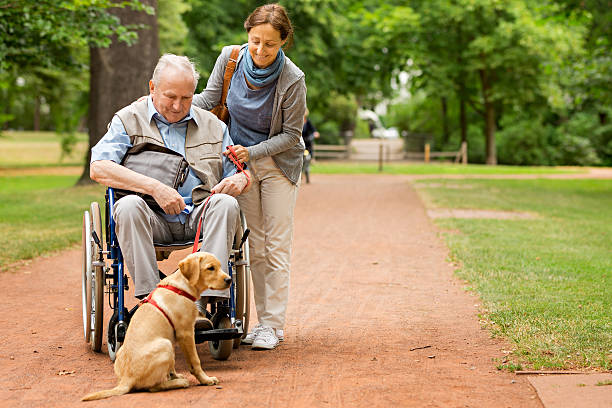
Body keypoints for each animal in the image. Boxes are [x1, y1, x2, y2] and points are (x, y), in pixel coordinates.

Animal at [82, 252, 231, 402]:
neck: (181, 287)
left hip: (159, 345)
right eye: (210, 268)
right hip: (165, 345)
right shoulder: (186, 333)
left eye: (220, 266)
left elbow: (173, 366)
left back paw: (175, 378)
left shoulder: (175, 337)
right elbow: (195, 361)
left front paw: (176, 375)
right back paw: (180, 382)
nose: (229, 279)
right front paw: (206, 380)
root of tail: (127, 380)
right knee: (153, 387)